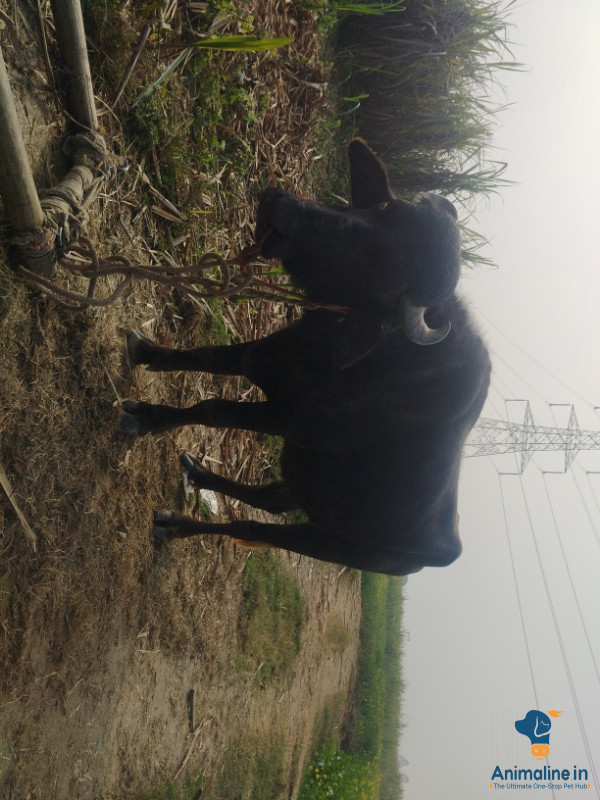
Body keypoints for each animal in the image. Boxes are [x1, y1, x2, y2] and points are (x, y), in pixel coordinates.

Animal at [121, 139, 490, 575]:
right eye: (386, 210)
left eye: (382, 272)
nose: (282, 207)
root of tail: (443, 550)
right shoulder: (263, 353)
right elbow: (206, 357)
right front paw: (147, 353)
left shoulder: (288, 418)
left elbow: (212, 409)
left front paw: (149, 419)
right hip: (307, 488)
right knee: (270, 499)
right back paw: (199, 475)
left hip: (327, 541)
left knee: (256, 527)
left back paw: (177, 526)